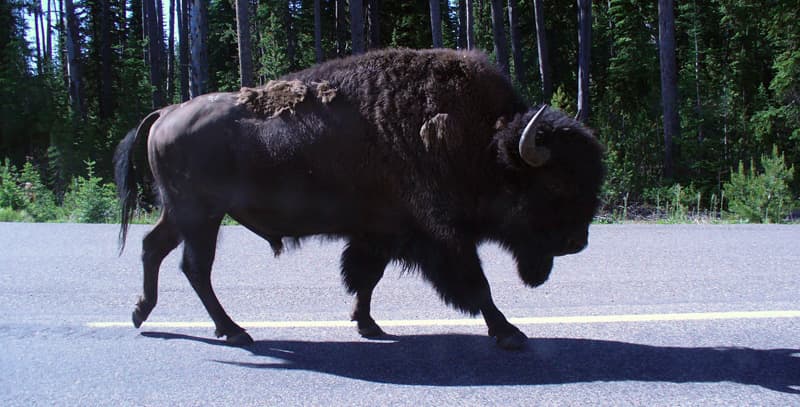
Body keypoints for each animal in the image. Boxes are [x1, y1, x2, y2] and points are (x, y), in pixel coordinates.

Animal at [115, 48, 604, 350]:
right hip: (202, 216)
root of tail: (166, 112)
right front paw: (509, 333)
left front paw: (367, 324)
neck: (483, 143)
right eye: (555, 186)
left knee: (153, 248)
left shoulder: (381, 233)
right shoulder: (443, 238)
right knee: (195, 267)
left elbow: (366, 278)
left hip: (181, 213)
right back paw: (233, 331)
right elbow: (476, 285)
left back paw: (143, 313)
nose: (578, 242)